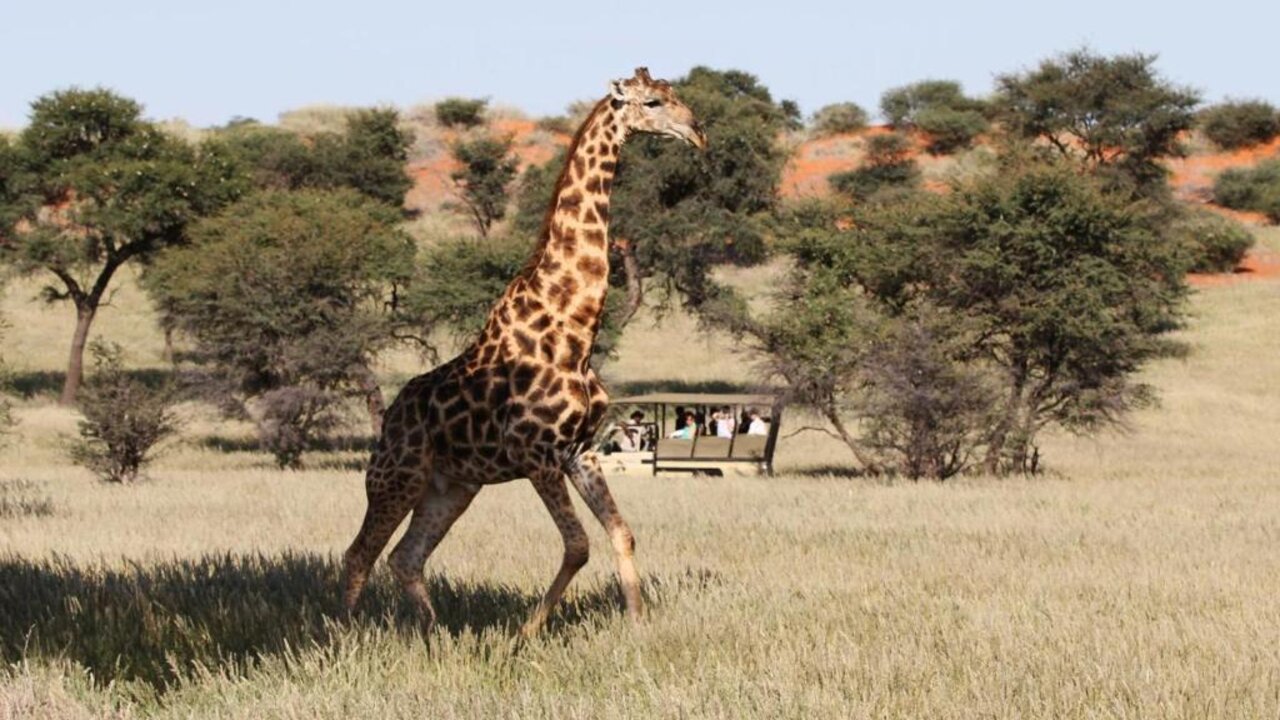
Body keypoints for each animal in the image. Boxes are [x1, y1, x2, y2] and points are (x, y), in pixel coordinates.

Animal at [343, 67, 711, 632]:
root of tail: (390, 415)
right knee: (359, 553)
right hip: (396, 474)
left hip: (452, 485)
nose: (698, 132)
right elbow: (578, 546)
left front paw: (638, 623)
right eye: (651, 103)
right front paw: (527, 630)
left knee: (405, 557)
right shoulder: (538, 455)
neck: (575, 333)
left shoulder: (579, 450)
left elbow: (621, 533)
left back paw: (436, 632)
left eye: (676, 96)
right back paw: (342, 630)